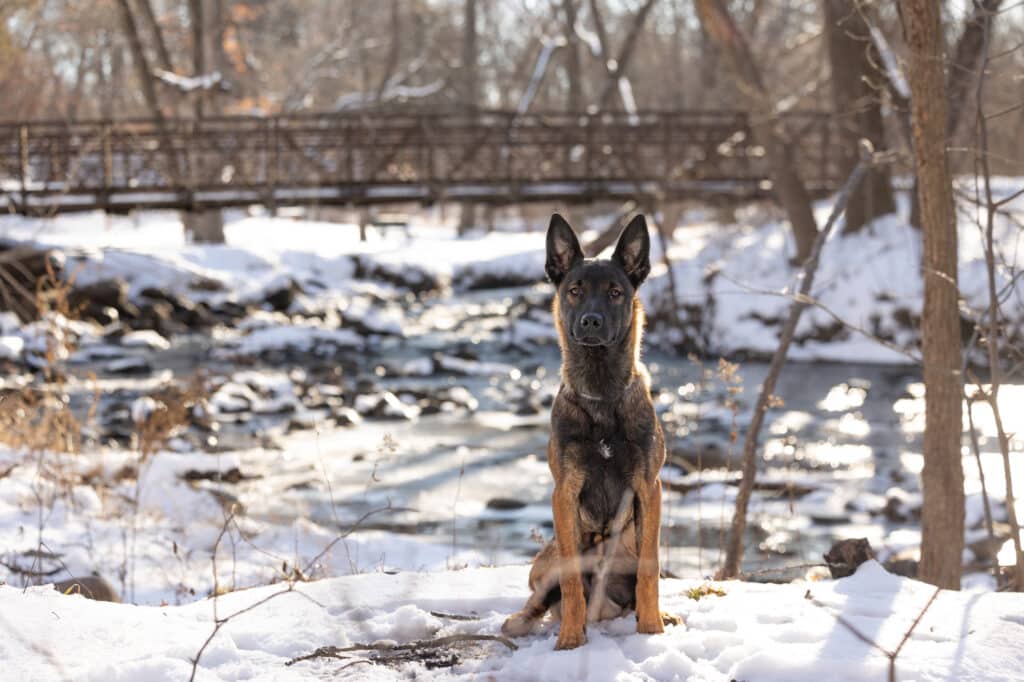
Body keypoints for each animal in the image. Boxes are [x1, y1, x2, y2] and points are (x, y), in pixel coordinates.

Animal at [503, 212, 679, 647]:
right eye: (574, 291)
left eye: (616, 292)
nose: (591, 321)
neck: (601, 395)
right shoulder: (563, 492)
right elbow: (569, 583)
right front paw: (570, 640)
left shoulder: (649, 488)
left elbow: (650, 570)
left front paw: (652, 629)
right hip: (545, 562)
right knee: (542, 597)